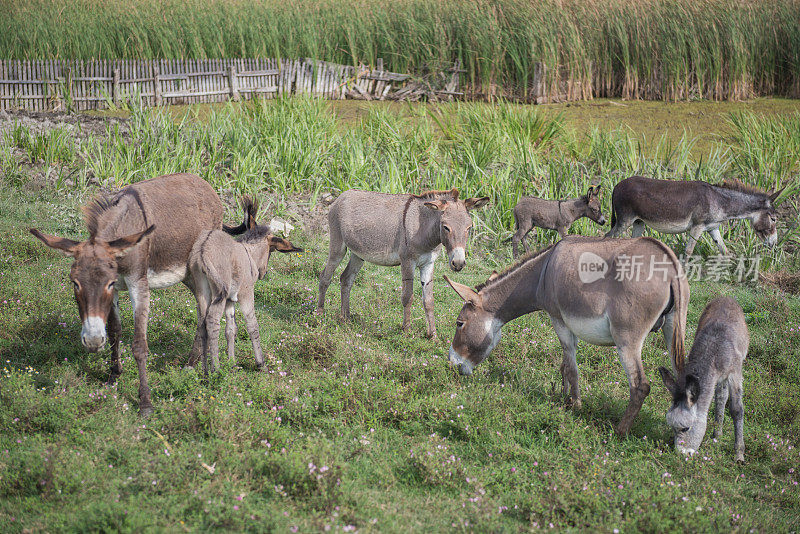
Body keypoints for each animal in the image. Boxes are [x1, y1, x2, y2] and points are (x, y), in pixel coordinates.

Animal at [189, 203, 302, 374]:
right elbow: (252, 326)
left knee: (202, 324)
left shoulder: (230, 300)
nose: (263, 273)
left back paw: (205, 370)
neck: (248, 253)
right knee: (212, 322)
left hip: (203, 293)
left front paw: (232, 363)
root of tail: (203, 250)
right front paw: (261, 363)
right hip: (218, 294)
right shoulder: (246, 295)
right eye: (271, 251)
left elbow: (231, 330)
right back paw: (216, 369)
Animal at [660, 298, 748, 464]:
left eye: (685, 428)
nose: (681, 455)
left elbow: (736, 410)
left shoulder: (734, 373)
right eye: (672, 427)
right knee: (721, 397)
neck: (712, 353)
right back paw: (717, 434)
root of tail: (725, 297)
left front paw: (739, 454)